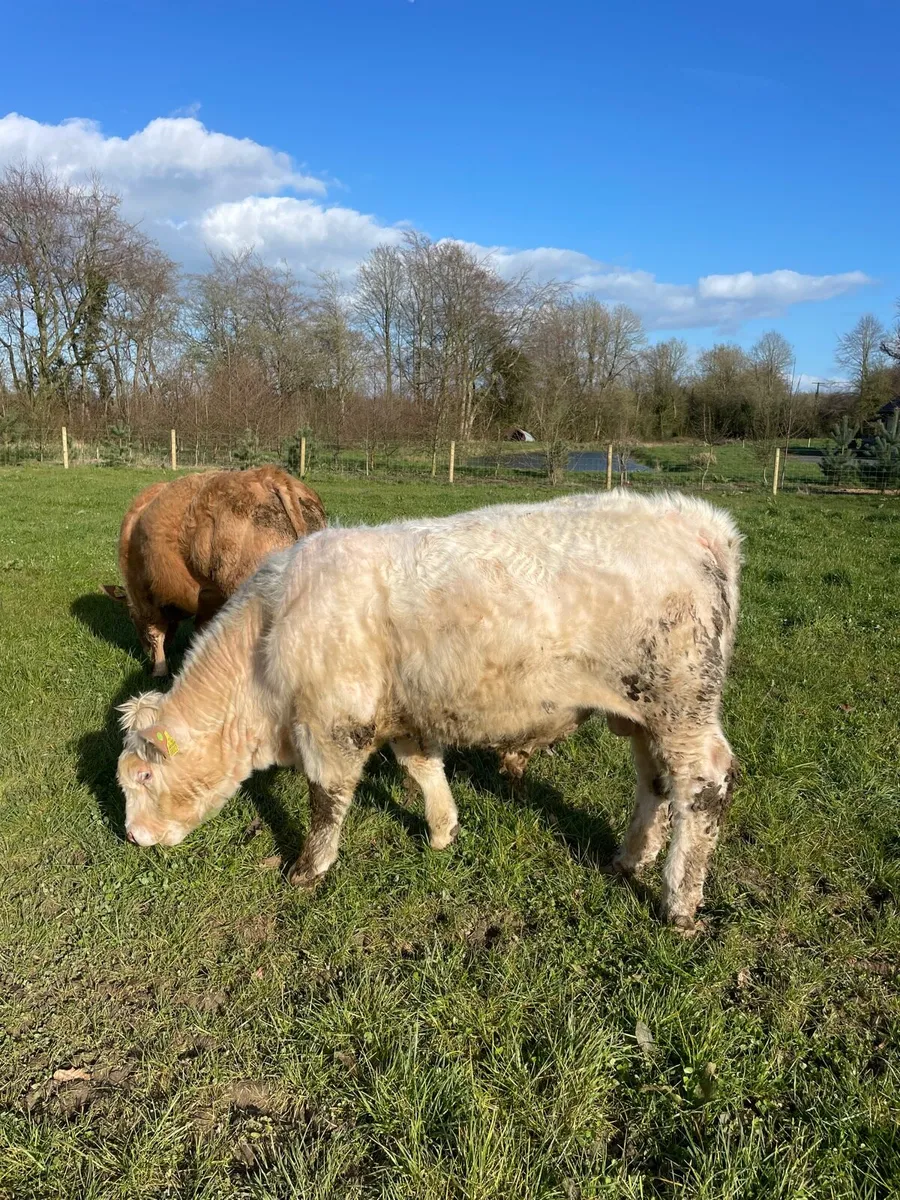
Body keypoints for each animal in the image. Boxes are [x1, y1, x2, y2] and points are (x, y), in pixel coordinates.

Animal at [104, 466, 326, 677]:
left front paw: (158, 670)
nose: (145, 653)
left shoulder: (144, 595)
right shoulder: (208, 598)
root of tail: (269, 475)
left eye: (131, 617)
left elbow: (156, 632)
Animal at [115, 490, 741, 932]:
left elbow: (326, 804)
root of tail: (700, 523)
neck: (269, 634)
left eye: (143, 776)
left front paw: (307, 870)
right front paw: (443, 831)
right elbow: (422, 770)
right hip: (643, 715)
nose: (133, 837)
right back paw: (630, 858)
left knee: (703, 785)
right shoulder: (402, 716)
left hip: (682, 706)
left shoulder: (332, 726)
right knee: (654, 783)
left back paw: (679, 902)